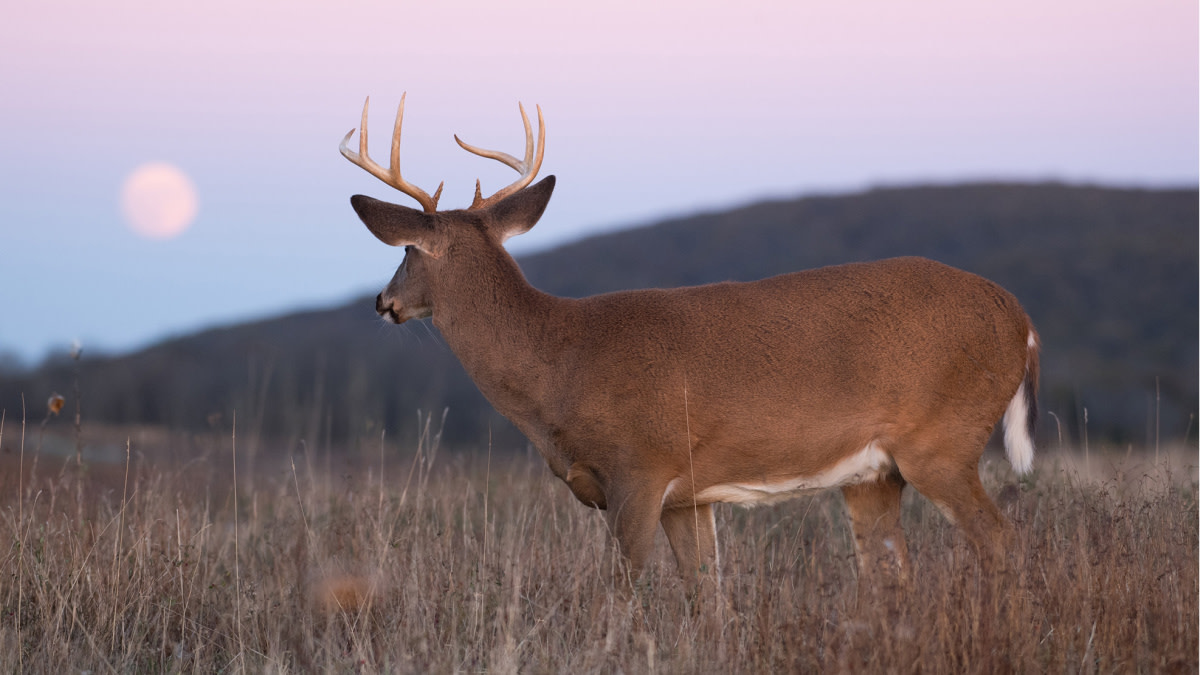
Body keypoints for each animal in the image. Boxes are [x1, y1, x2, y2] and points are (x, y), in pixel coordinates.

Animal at [340, 96, 1041, 593]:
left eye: (407, 250)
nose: (382, 301)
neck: (559, 363)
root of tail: (1022, 320)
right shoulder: (689, 494)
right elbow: (706, 595)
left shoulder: (640, 469)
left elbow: (619, 593)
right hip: (874, 474)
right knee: (894, 572)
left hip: (942, 440)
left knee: (1005, 545)